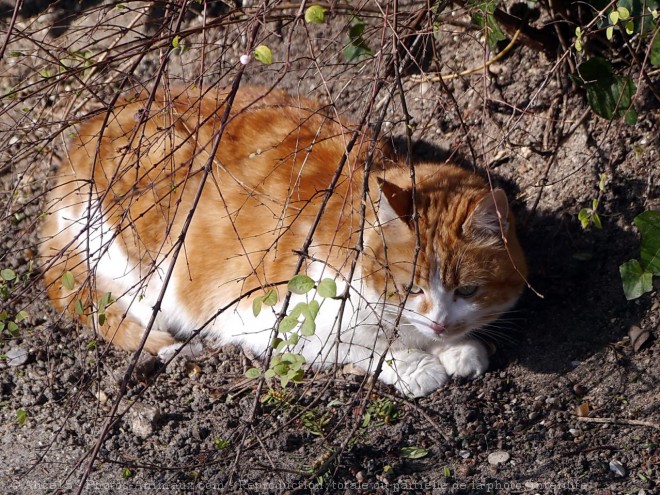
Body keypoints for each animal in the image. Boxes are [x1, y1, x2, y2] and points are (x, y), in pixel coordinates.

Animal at [40, 85, 524, 400]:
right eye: (410, 289)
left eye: (468, 290)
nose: (441, 324)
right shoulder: (269, 319)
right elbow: (369, 346)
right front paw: (418, 363)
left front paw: (456, 347)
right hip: (140, 257)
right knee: (123, 309)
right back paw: (174, 344)